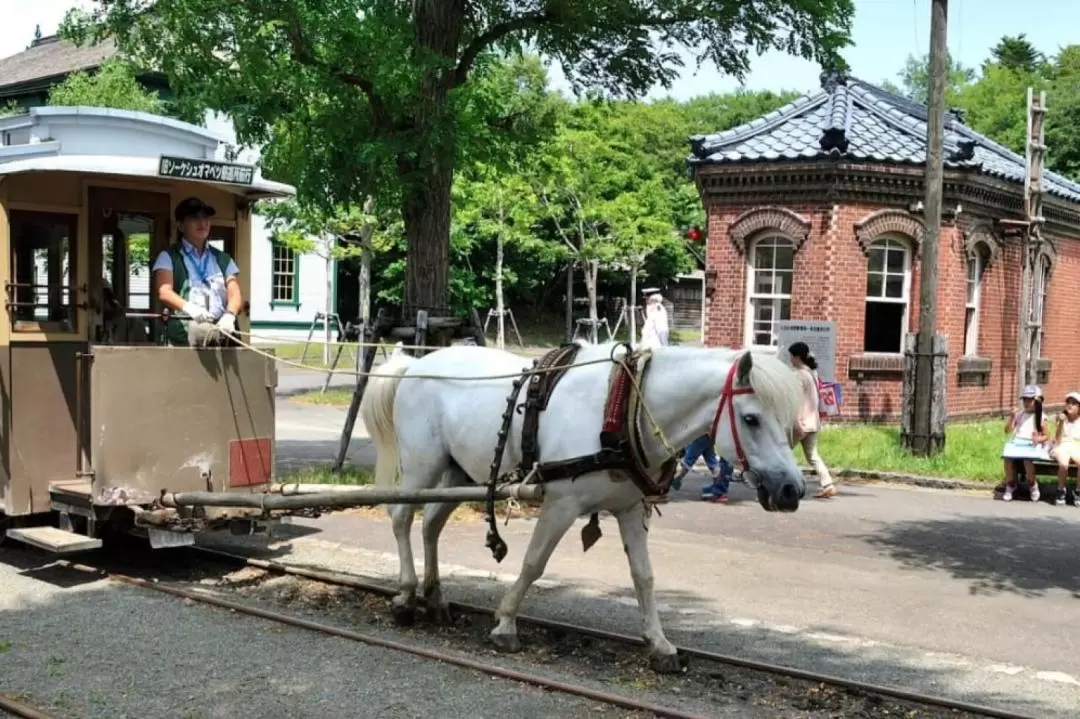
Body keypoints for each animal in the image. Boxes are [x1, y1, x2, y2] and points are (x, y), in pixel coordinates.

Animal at [358, 338, 807, 669]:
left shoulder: (630, 509)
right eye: (751, 419)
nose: (793, 489)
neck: (623, 410)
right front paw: (506, 625)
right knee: (401, 517)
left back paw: (435, 598)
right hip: (422, 465)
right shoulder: (561, 504)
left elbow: (643, 576)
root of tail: (416, 364)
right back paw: (405, 596)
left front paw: (660, 644)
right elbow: (533, 563)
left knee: (431, 523)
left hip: (458, 472)